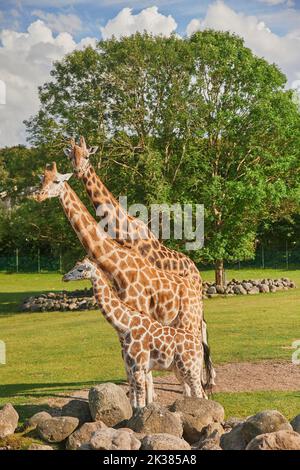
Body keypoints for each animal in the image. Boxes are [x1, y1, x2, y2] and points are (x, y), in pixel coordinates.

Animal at [31, 162, 213, 392]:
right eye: (41, 180)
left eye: (56, 181)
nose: (37, 195)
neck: (117, 265)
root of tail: (196, 275)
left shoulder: (137, 317)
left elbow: (144, 373)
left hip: (187, 319)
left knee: (198, 343)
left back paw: (205, 384)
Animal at [62, 258, 205, 412]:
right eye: (74, 266)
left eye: (80, 269)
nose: (64, 277)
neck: (125, 327)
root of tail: (200, 347)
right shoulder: (129, 368)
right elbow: (133, 403)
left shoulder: (138, 368)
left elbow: (141, 403)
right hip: (179, 369)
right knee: (192, 392)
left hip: (190, 368)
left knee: (200, 393)